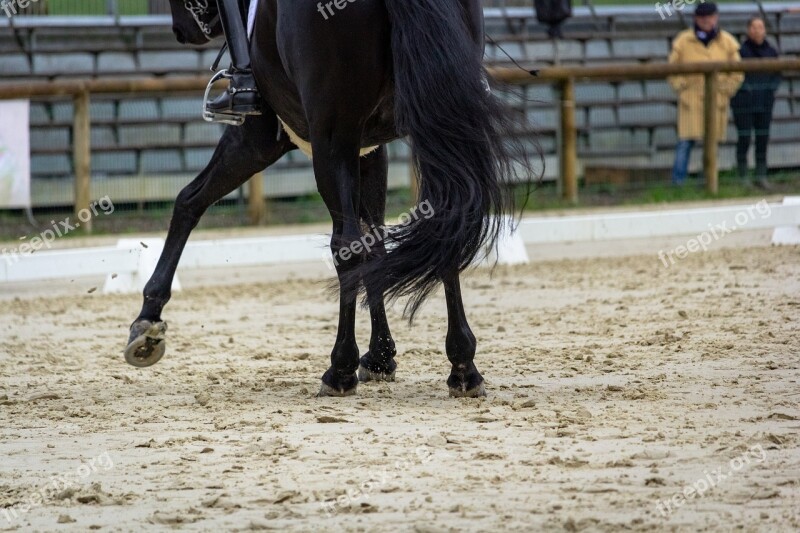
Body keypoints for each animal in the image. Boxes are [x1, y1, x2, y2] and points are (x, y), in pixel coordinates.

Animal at [125, 0, 532, 394]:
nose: (182, 30)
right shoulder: (369, 151)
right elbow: (376, 245)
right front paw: (381, 356)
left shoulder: (259, 139)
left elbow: (188, 200)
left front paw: (147, 322)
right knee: (444, 224)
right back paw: (463, 368)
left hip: (329, 142)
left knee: (346, 246)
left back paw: (340, 370)